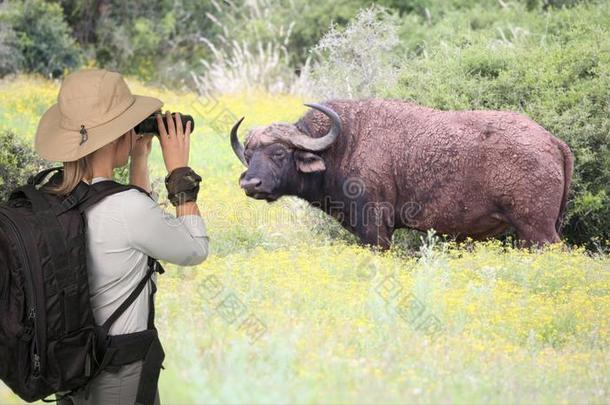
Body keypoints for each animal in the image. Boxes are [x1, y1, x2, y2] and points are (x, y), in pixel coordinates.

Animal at [227, 99, 568, 248]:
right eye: (250, 154)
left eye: (279, 153)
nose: (251, 183)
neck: (343, 144)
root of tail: (552, 141)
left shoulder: (375, 227)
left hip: (537, 229)